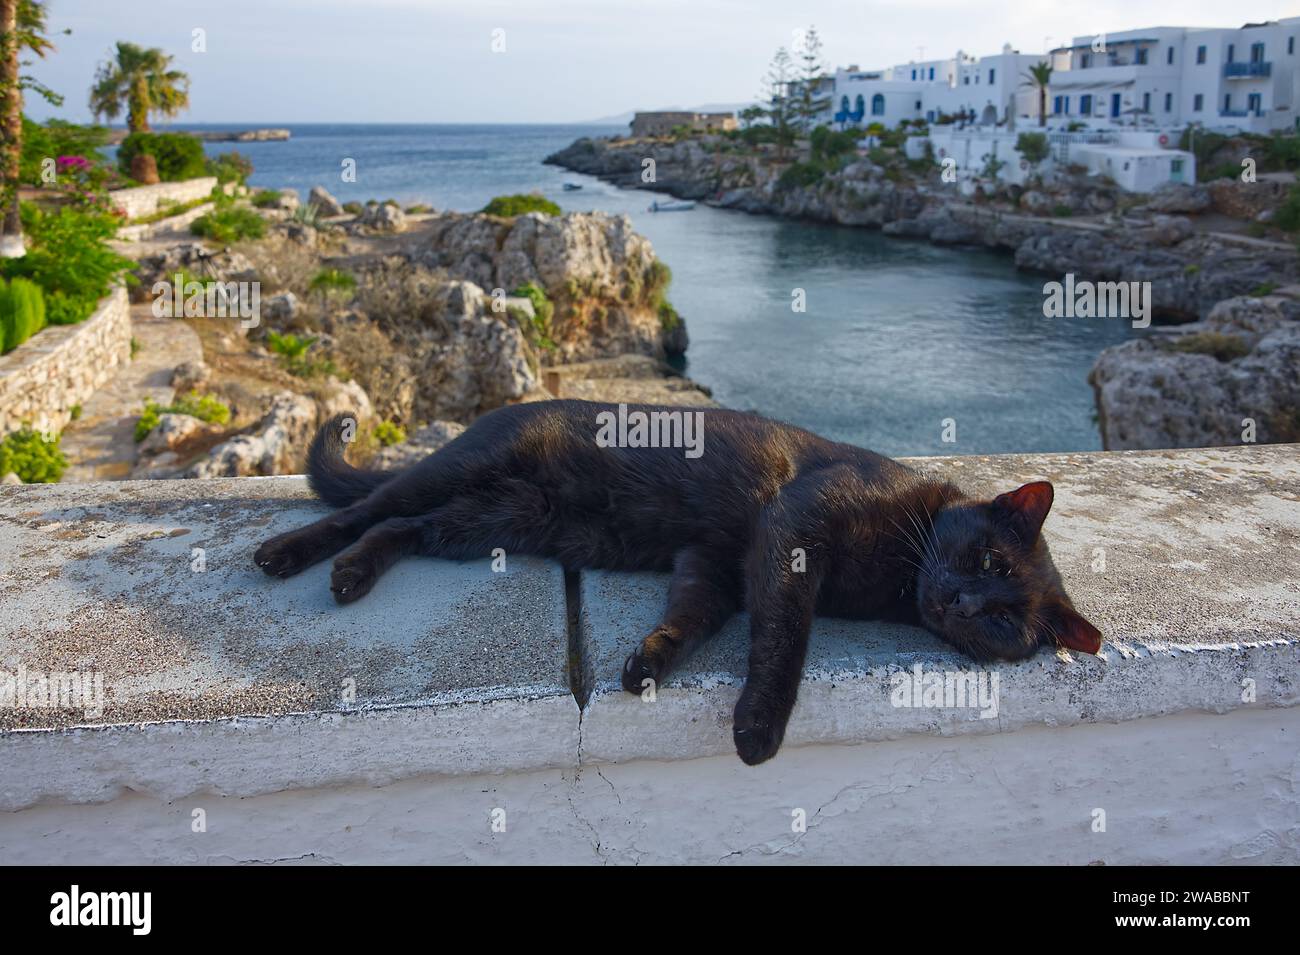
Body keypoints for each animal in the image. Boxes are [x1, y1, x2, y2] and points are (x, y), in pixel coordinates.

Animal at [250, 400, 1097, 764]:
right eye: (987, 561)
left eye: (1003, 620)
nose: (961, 600)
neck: (896, 570)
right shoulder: (792, 529)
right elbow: (785, 638)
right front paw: (760, 727)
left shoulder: (715, 563)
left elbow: (694, 617)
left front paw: (649, 661)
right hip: (465, 471)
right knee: (365, 507)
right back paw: (291, 553)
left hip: (494, 520)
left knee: (400, 529)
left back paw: (354, 573)